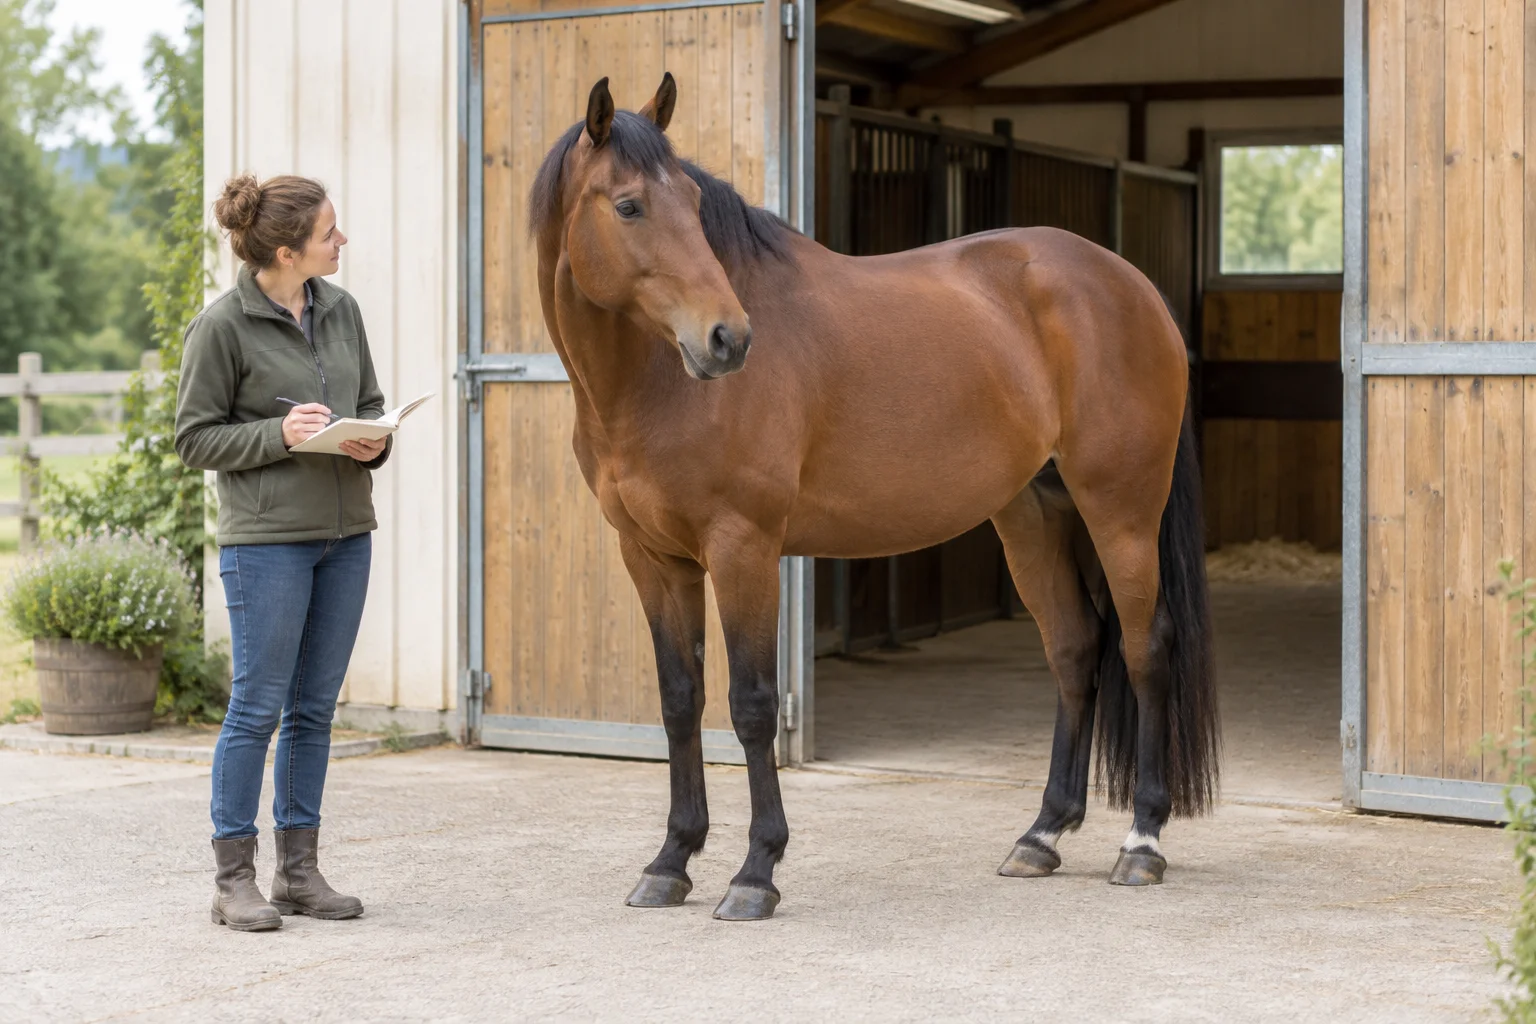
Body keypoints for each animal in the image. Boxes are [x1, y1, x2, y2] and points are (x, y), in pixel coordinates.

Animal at [526, 73, 1219, 922]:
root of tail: (1133, 286)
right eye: (628, 205)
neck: (654, 384)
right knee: (1075, 648)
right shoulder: (654, 558)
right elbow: (680, 700)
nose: (727, 339)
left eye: (690, 201)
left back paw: (1143, 842)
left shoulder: (742, 546)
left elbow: (752, 705)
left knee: (1145, 648)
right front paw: (671, 861)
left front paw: (756, 872)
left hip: (1121, 511)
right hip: (1031, 516)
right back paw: (1041, 836)